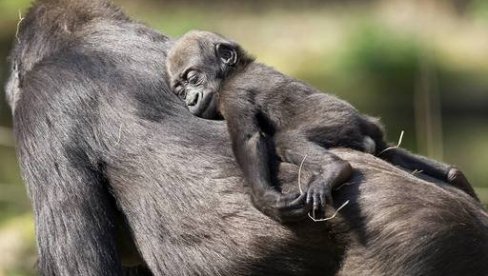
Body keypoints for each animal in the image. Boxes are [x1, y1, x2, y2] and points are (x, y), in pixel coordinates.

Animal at [167, 31, 476, 223]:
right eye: (180, 91)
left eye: (192, 78)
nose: (190, 100)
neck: (234, 71)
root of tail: (365, 123)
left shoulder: (234, 95)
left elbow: (249, 138)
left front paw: (265, 199)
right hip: (373, 135)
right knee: (391, 152)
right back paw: (454, 176)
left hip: (337, 120)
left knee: (287, 141)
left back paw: (335, 170)